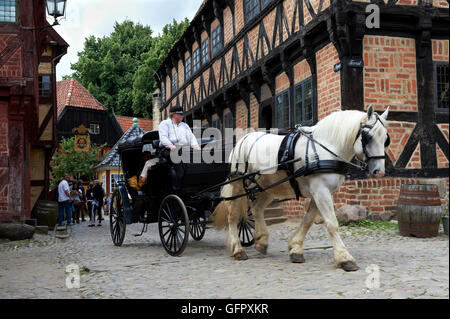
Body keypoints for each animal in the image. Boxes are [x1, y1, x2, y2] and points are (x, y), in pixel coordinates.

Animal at [214, 106, 390, 272]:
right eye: (368, 137)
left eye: (386, 139)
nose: (379, 172)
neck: (325, 149)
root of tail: (242, 140)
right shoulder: (321, 191)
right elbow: (332, 223)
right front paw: (344, 258)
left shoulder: (320, 192)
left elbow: (308, 220)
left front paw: (295, 248)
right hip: (238, 185)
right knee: (233, 215)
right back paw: (237, 249)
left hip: (269, 187)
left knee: (257, 209)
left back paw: (261, 241)